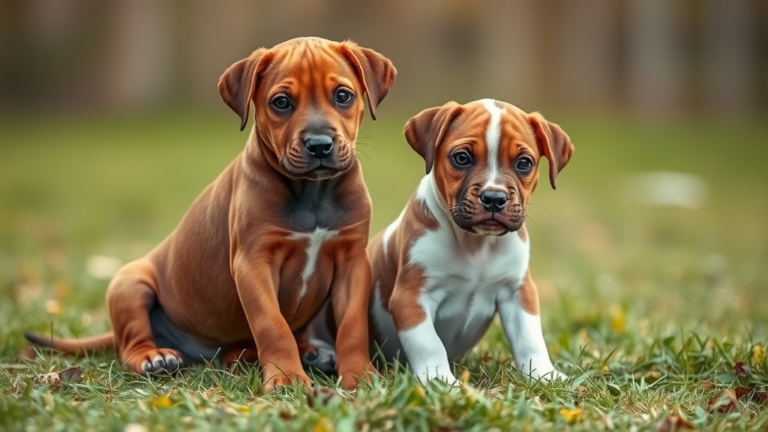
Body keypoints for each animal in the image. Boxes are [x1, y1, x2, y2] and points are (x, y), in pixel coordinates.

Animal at [24, 38, 396, 392]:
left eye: (343, 96)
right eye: (281, 102)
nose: (319, 145)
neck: (312, 194)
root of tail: (202, 351)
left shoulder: (353, 262)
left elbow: (352, 325)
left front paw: (359, 375)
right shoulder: (252, 263)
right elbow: (272, 324)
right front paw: (286, 378)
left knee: (245, 349)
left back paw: (306, 351)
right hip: (130, 283)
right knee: (129, 345)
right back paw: (153, 357)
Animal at [304, 98, 572, 384]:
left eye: (524, 163)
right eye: (462, 158)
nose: (493, 198)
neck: (475, 245)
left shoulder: (518, 291)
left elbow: (530, 339)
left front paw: (545, 374)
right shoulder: (411, 297)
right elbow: (429, 344)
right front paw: (441, 381)